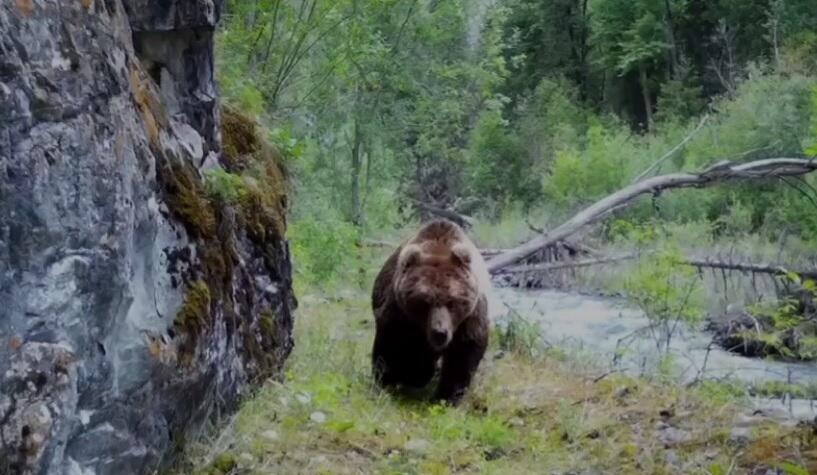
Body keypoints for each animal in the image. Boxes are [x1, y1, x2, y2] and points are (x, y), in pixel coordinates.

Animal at [370, 219, 490, 406]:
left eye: (452, 302)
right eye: (424, 302)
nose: (440, 332)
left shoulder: (470, 317)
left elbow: (463, 353)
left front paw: (448, 396)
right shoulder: (400, 313)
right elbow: (392, 344)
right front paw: (389, 379)